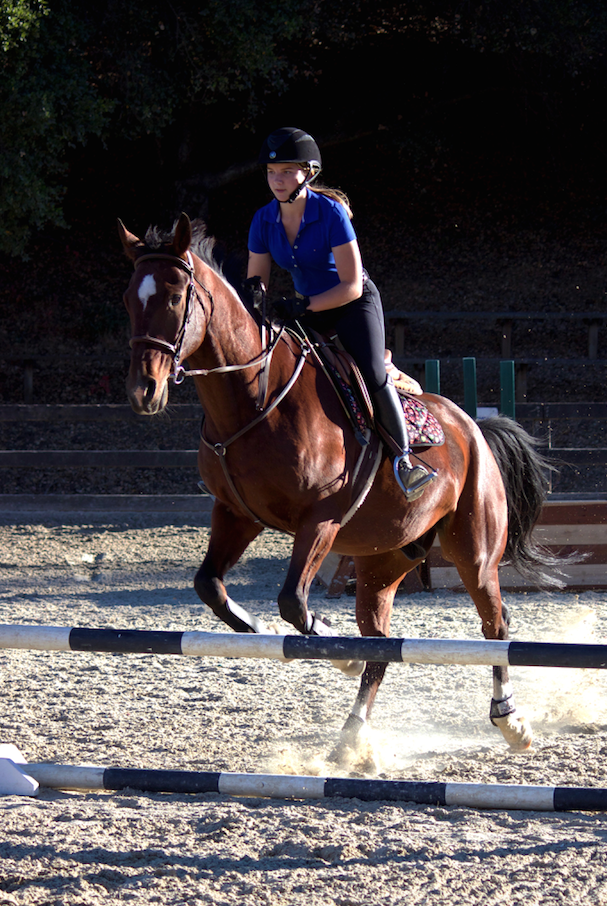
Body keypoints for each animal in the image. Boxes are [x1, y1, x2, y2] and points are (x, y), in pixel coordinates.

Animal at [119, 212, 564, 764]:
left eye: (176, 296)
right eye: (129, 298)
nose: (144, 392)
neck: (253, 402)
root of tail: (473, 428)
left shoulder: (321, 520)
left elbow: (293, 601)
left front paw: (330, 646)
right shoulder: (236, 513)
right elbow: (211, 586)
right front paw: (265, 632)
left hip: (474, 550)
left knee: (495, 624)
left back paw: (510, 721)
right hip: (383, 560)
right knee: (381, 648)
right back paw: (352, 737)